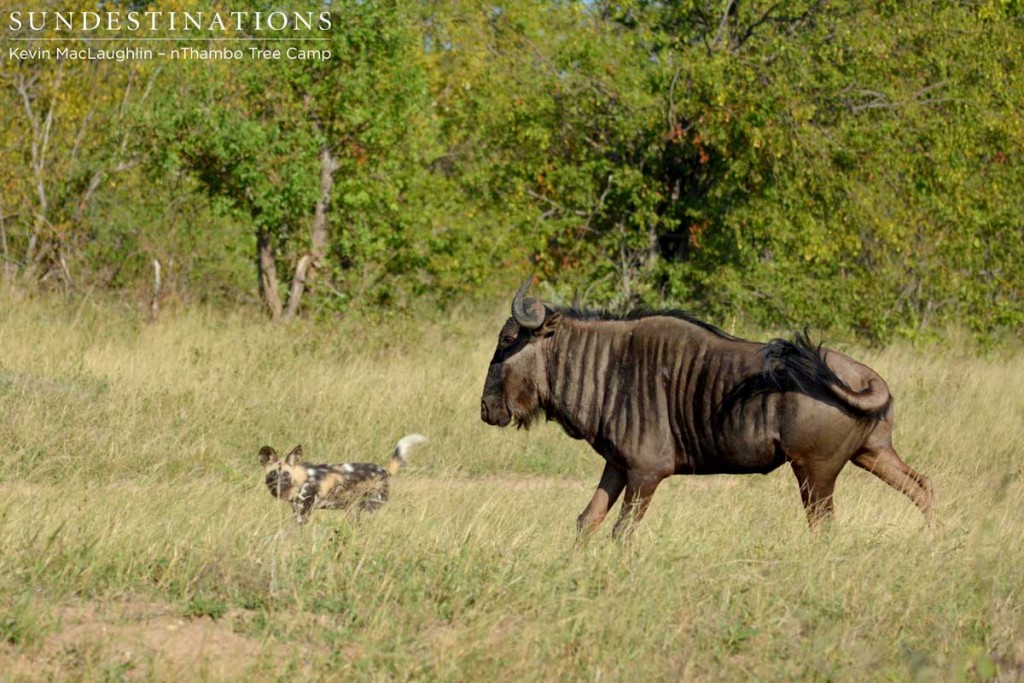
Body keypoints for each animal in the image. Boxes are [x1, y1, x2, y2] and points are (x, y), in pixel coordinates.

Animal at [262, 436, 430, 528]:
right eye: (272, 473)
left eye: (286, 474)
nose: (279, 486)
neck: (300, 479)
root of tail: (384, 471)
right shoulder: (296, 510)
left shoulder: (303, 513)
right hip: (352, 509)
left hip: (367, 506)